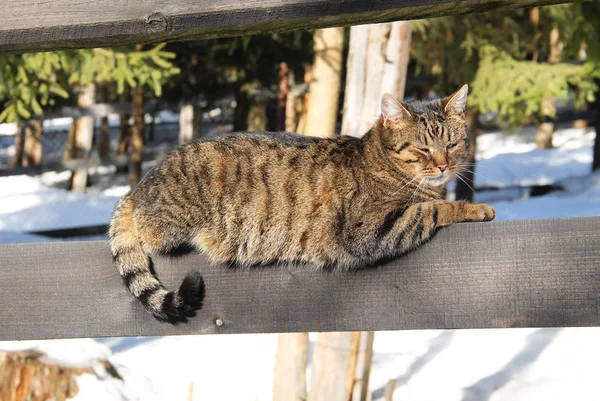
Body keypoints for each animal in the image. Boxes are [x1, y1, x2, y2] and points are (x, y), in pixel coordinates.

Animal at [110, 84, 494, 322]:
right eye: (423, 149)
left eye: (453, 144)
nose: (444, 165)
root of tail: (138, 185)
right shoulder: (368, 230)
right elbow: (433, 209)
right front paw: (475, 208)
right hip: (173, 221)